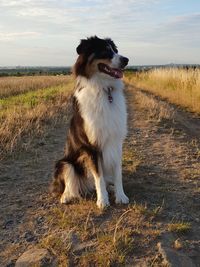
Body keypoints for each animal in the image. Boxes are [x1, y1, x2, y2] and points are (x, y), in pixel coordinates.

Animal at [50, 35, 129, 209]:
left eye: (116, 50)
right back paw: (66, 196)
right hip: (65, 162)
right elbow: (98, 176)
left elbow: (118, 173)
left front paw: (120, 195)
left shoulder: (116, 141)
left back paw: (110, 187)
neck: (105, 91)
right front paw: (103, 201)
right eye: (105, 50)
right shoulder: (91, 145)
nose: (126, 60)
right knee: (69, 182)